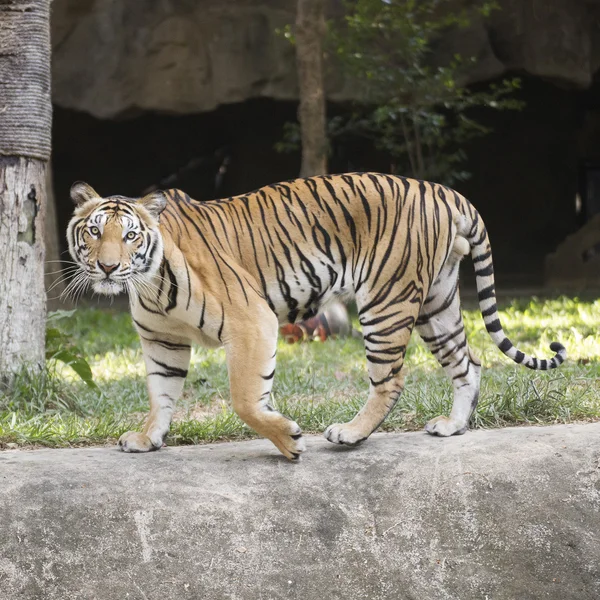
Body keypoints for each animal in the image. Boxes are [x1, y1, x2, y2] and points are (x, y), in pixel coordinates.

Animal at [67, 172, 568, 460]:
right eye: (93, 232)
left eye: (130, 236)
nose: (107, 267)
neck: (147, 284)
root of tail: (447, 192)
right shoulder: (162, 341)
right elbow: (161, 393)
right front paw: (148, 437)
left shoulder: (252, 322)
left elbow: (245, 399)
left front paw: (289, 440)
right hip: (436, 302)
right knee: (468, 363)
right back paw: (452, 426)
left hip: (386, 301)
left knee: (390, 379)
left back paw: (350, 433)